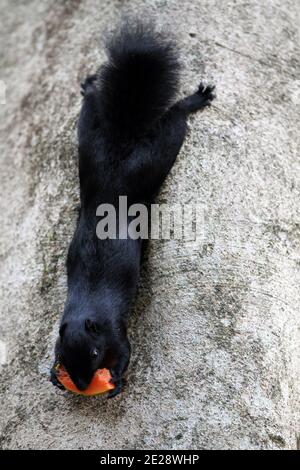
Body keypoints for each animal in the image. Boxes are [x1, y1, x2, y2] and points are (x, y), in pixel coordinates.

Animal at [51, 21, 216, 396]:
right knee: (90, 111)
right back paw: (90, 87)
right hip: (90, 144)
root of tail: (118, 153)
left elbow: (125, 352)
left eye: (94, 353)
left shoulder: (115, 330)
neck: (86, 311)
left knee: (174, 123)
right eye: (66, 355)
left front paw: (116, 380)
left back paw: (193, 101)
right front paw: (55, 376)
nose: (82, 384)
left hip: (150, 159)